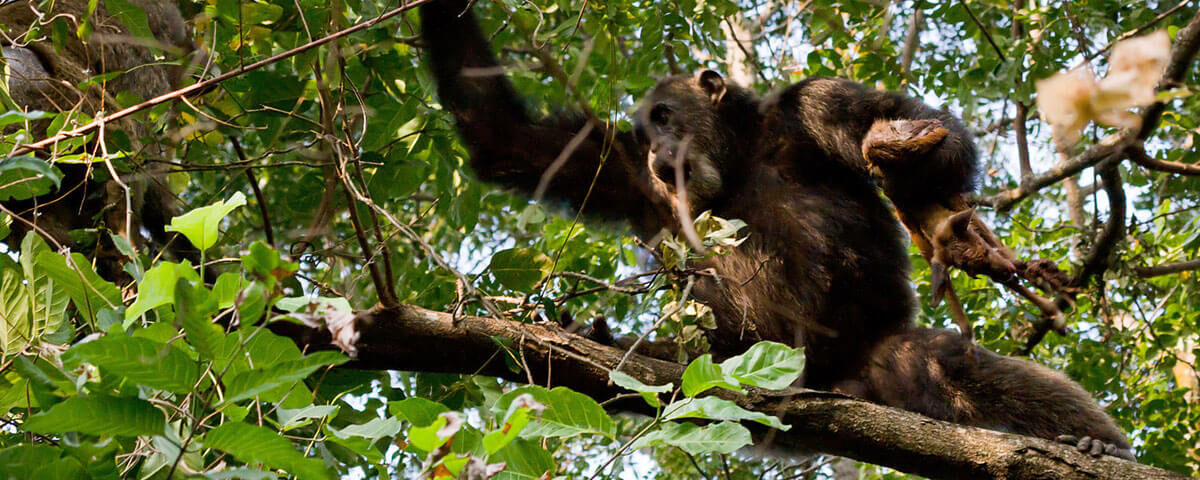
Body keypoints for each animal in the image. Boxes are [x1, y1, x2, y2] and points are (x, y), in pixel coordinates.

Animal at [420, 0, 1133, 460]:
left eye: (664, 115)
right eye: (643, 133)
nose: (657, 152)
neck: (736, 156)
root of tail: (832, 383)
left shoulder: (817, 102)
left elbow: (916, 132)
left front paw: (915, 170)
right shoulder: (619, 171)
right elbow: (504, 135)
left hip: (869, 364)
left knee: (939, 362)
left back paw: (1097, 444)